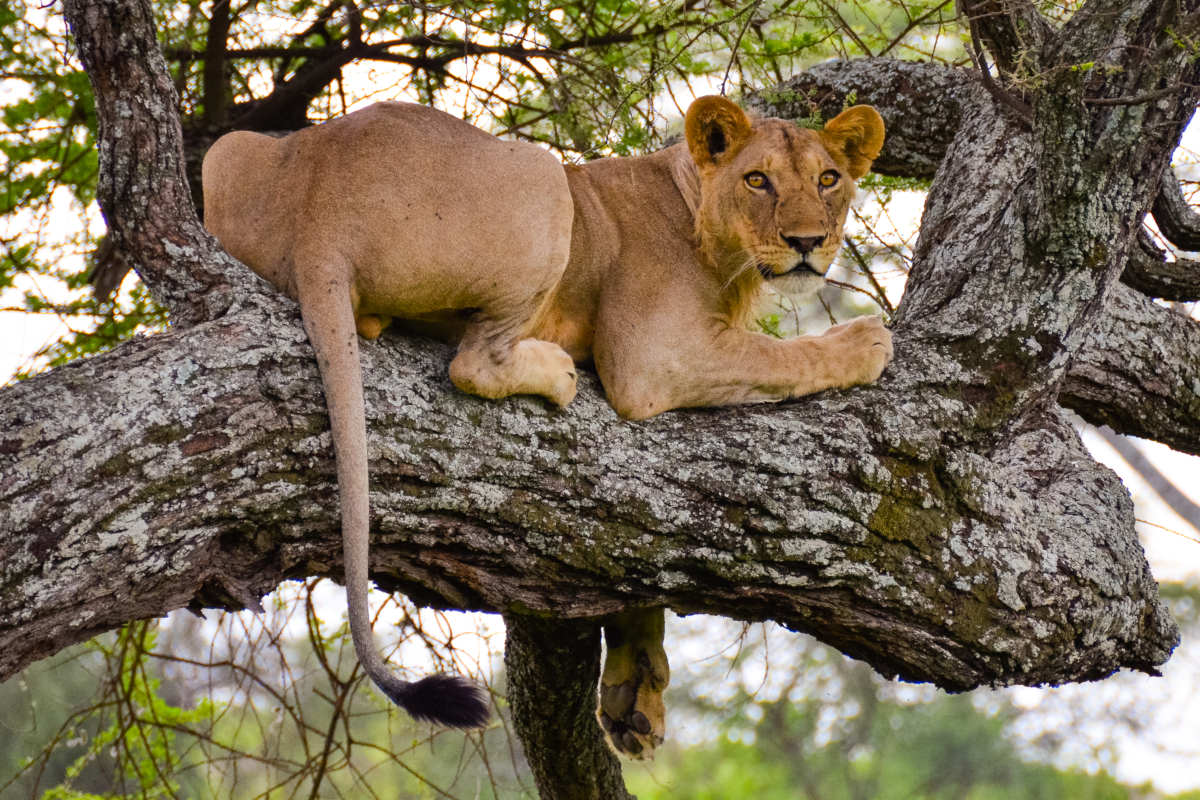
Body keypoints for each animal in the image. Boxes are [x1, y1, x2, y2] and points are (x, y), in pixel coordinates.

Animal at [201, 95, 889, 757]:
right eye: (757, 180)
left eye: (828, 179)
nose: (808, 242)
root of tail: (319, 215)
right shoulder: (652, 358)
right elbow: (779, 354)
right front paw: (866, 342)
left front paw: (634, 693)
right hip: (544, 178)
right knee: (474, 360)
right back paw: (556, 372)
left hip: (223, 152)